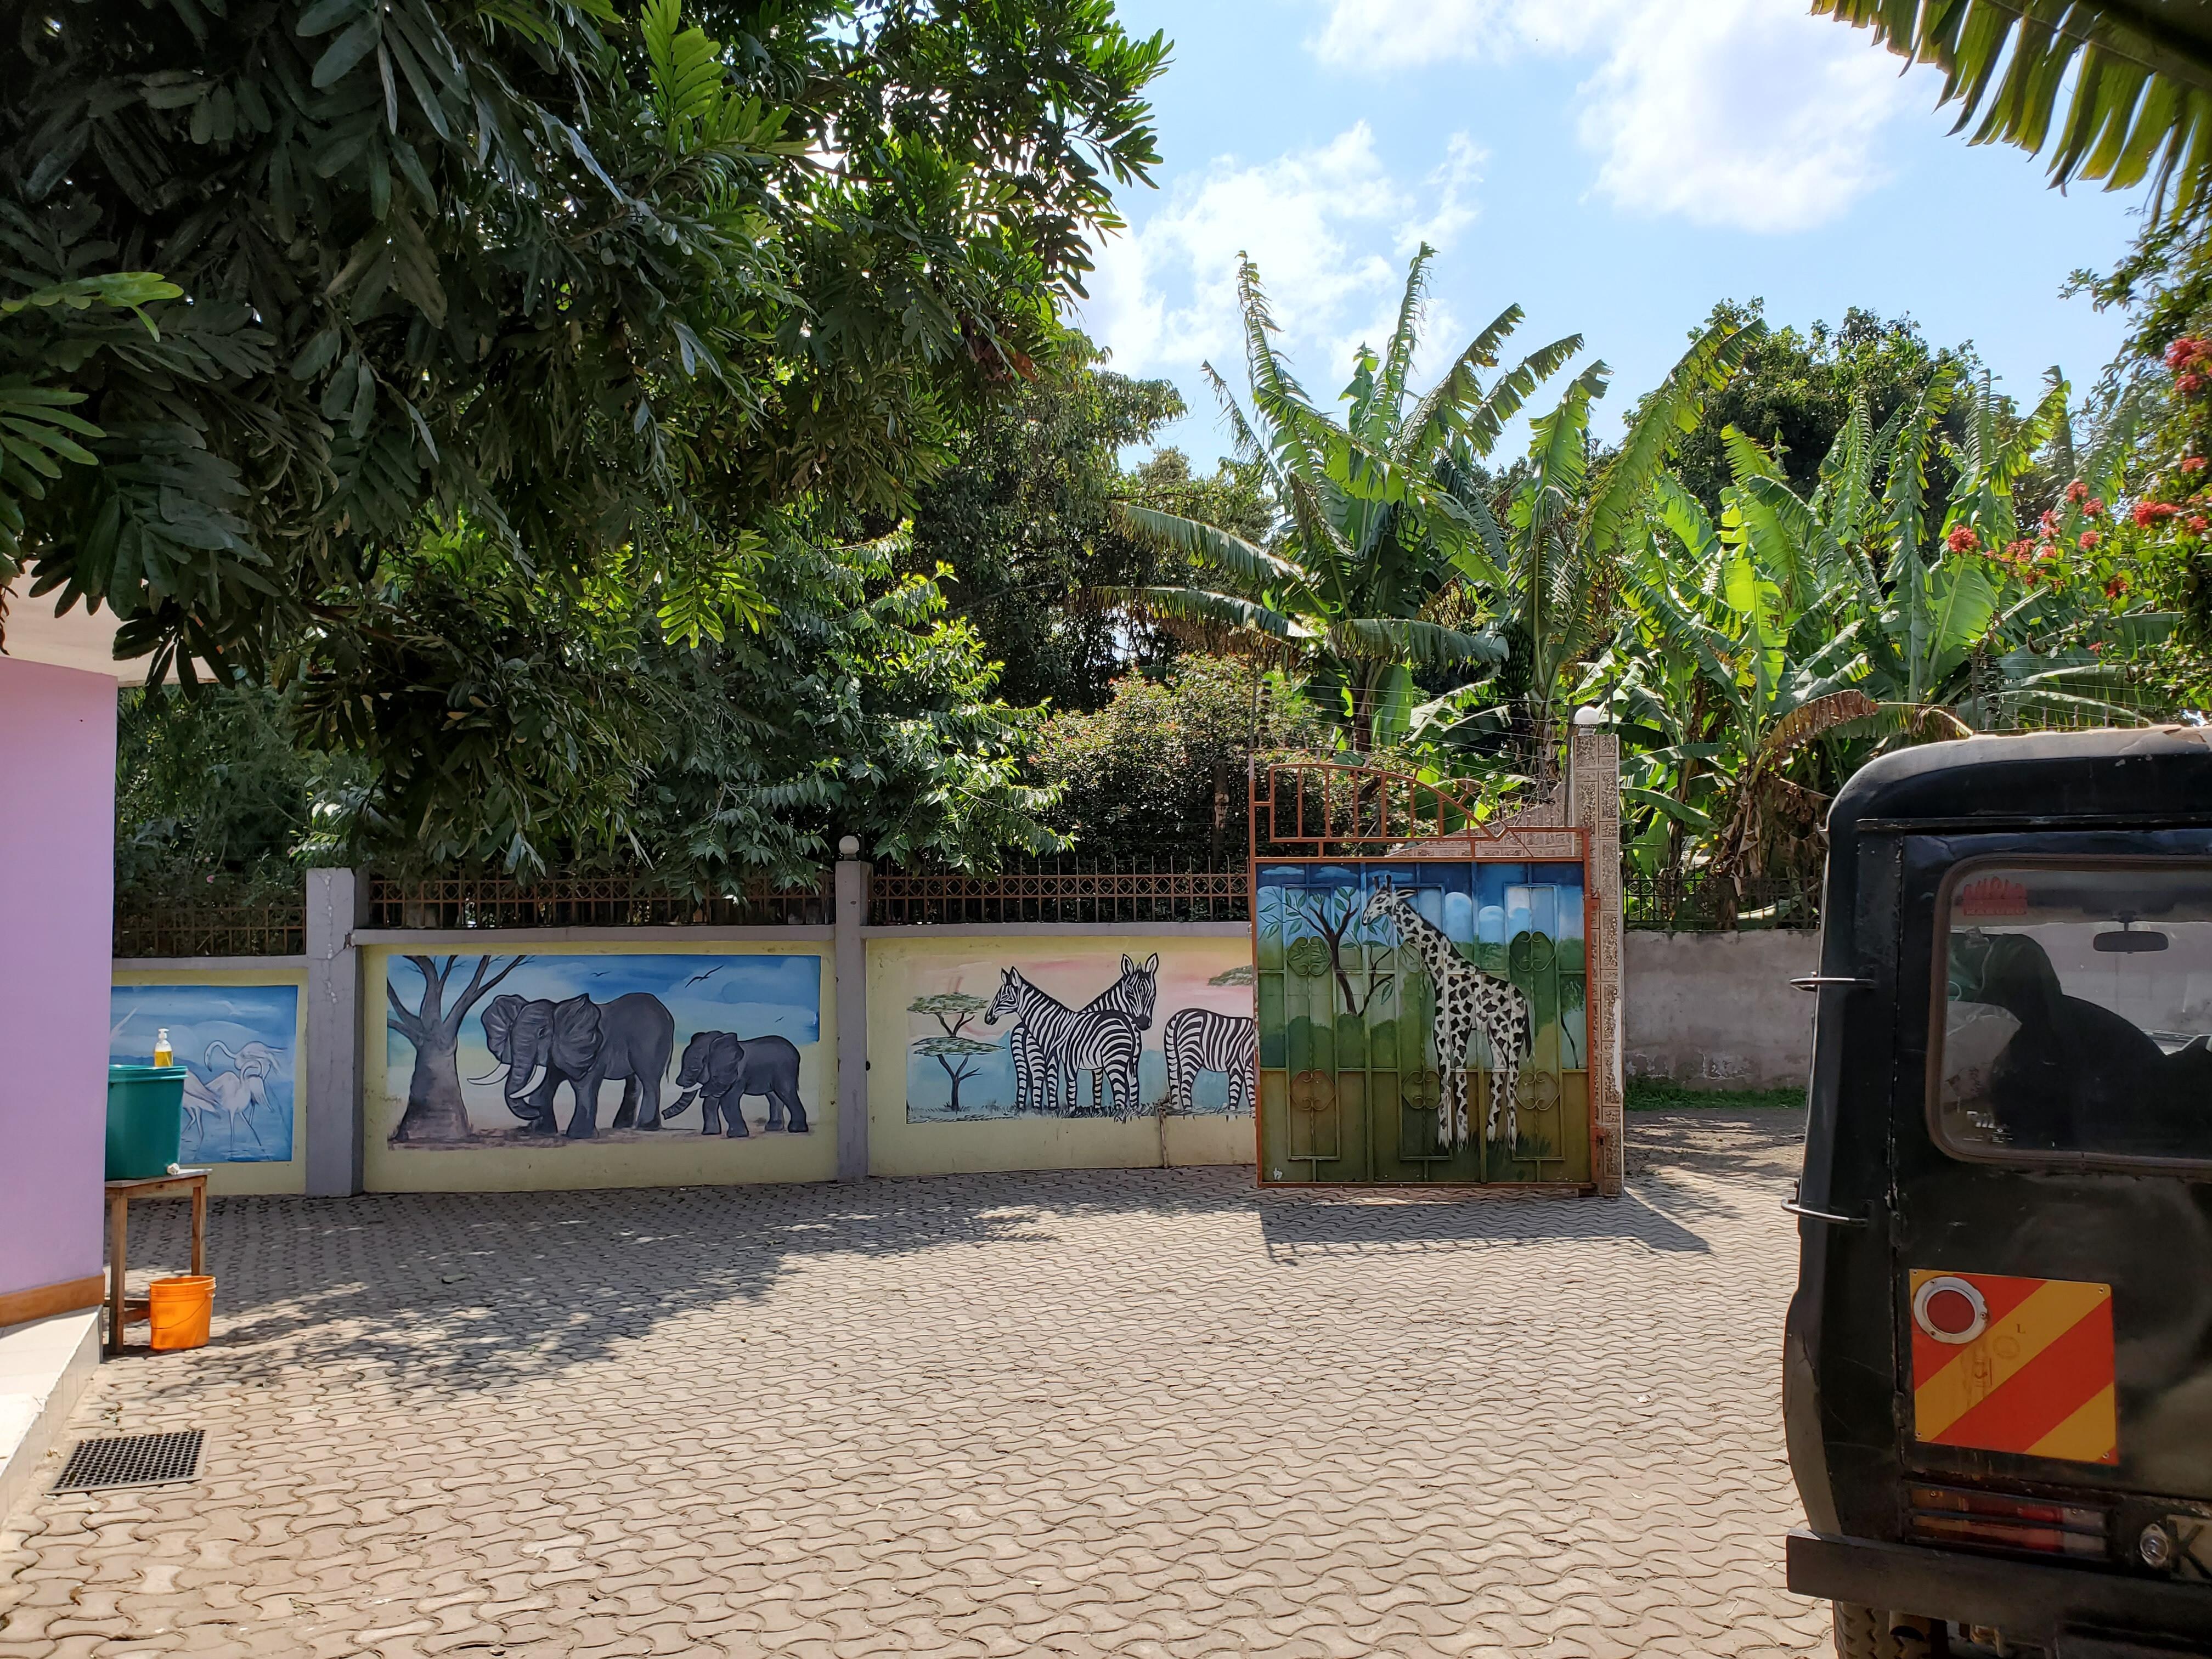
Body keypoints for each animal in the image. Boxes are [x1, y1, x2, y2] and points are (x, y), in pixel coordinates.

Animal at [991, 969, 1150, 1124]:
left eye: (1005, 996)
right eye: (1130, 992)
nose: (988, 1018)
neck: (1056, 1026)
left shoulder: (1073, 1059)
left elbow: (1076, 1087)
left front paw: (1077, 1112)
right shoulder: (1072, 1060)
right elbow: (1079, 1086)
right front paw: (1078, 1111)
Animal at [1167, 1013, 1256, 1119]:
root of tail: (1180, 1016)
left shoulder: (1249, 1067)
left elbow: (1251, 1091)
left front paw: (1253, 1114)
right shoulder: (1236, 1063)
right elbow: (1234, 1091)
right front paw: (1232, 1115)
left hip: (1172, 1056)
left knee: (1174, 1087)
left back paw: (1176, 1113)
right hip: (1191, 1053)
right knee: (1184, 1087)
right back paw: (1189, 1114)